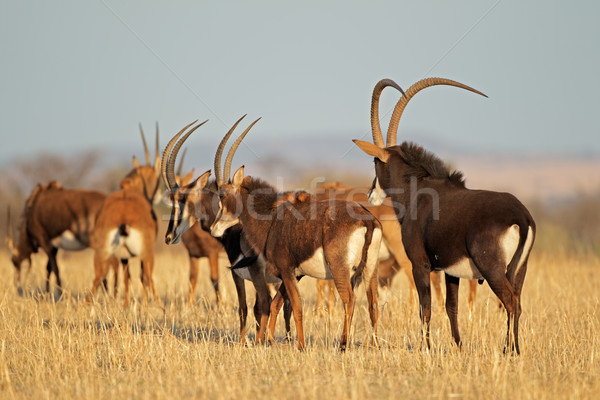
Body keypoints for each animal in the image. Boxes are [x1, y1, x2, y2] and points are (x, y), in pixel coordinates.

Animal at [352, 77, 536, 354]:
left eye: (375, 162)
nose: (371, 194)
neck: (418, 190)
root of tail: (521, 218)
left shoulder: (420, 264)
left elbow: (425, 308)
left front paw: (425, 348)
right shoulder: (451, 271)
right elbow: (451, 308)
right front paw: (458, 346)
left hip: (492, 269)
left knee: (511, 302)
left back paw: (508, 351)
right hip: (519, 270)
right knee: (519, 303)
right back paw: (515, 349)